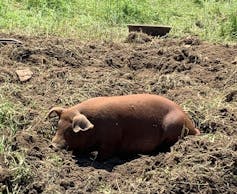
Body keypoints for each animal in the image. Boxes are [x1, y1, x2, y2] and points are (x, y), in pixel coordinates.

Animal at [48, 94, 200, 159]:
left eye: (71, 131)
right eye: (58, 126)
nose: (52, 145)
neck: (94, 127)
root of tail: (193, 126)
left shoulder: (111, 140)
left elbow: (104, 154)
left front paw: (96, 159)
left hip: (173, 126)